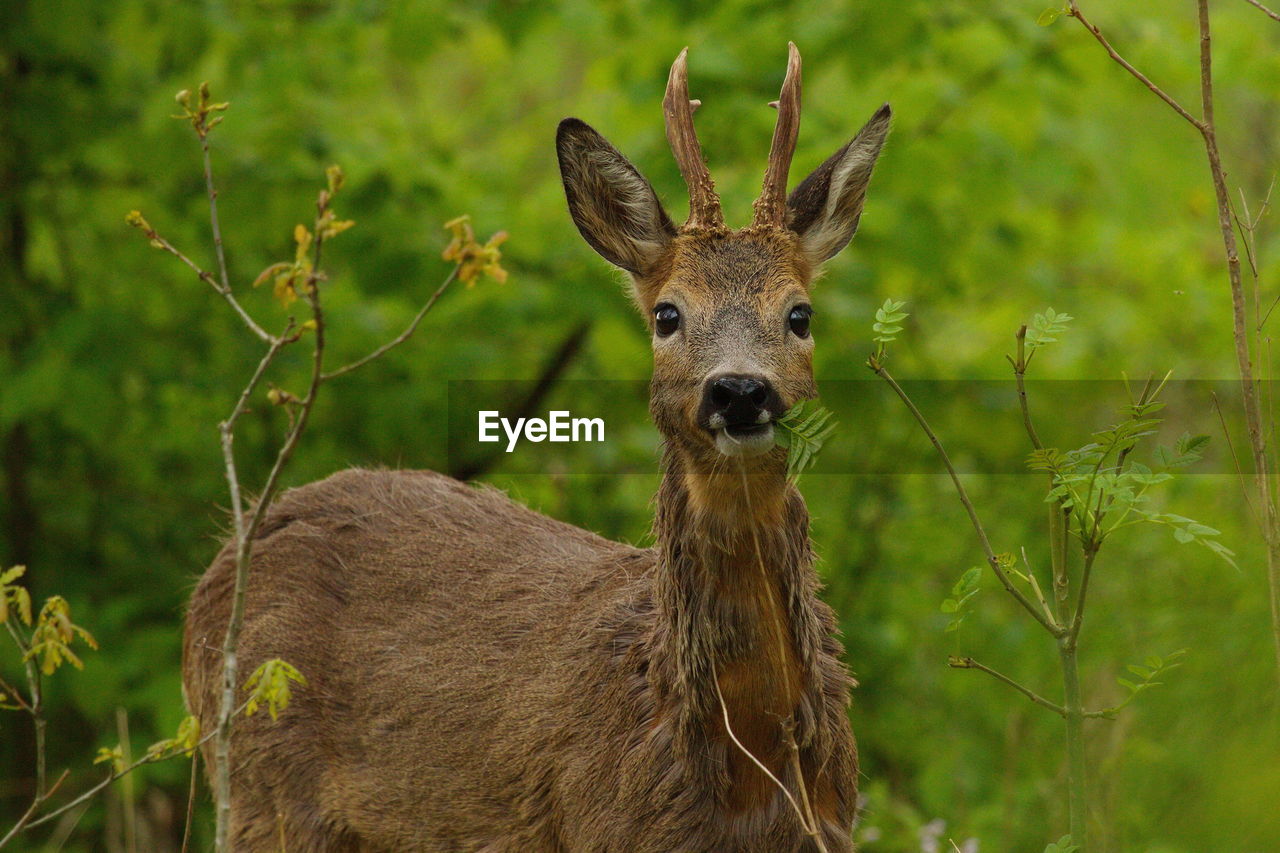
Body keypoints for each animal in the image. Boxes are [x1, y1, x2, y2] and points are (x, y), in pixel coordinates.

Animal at [185, 43, 890, 845]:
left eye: (800, 314)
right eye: (668, 314)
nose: (739, 390)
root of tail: (226, 556)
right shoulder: (601, 828)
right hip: (258, 781)